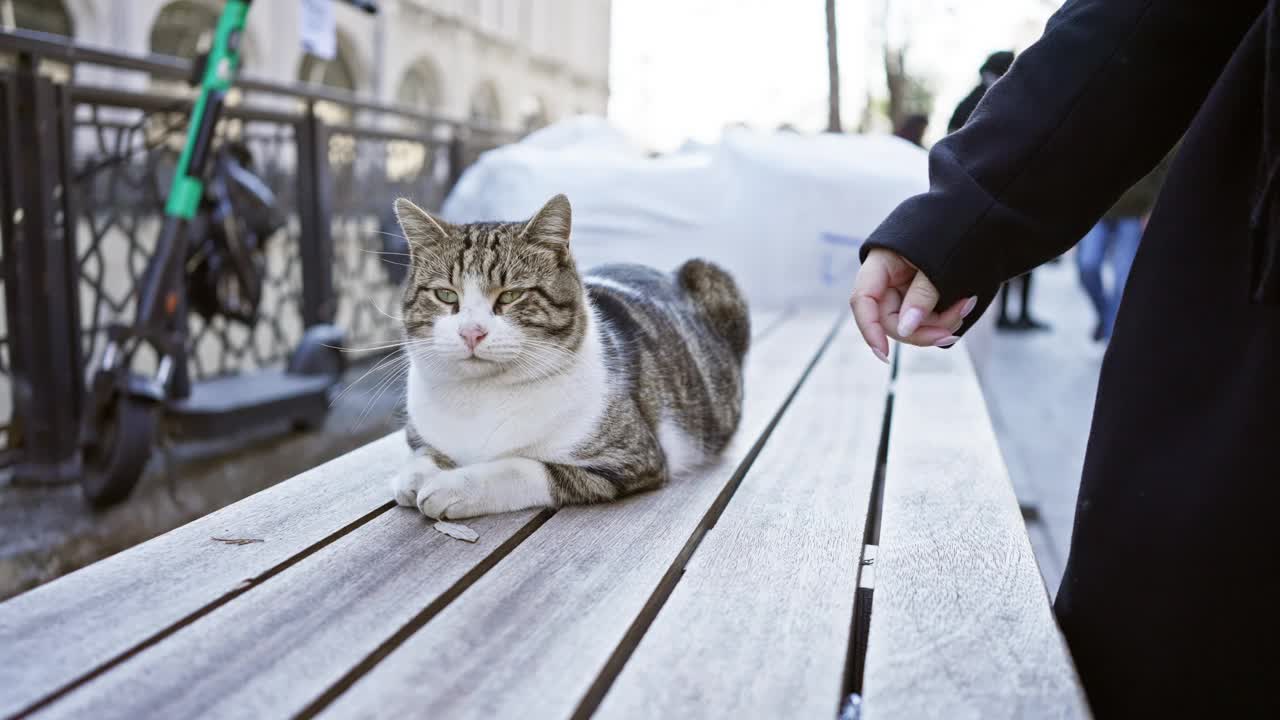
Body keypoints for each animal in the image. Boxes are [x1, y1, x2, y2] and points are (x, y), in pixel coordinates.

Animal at [389, 192, 747, 515]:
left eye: (511, 295)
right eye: (446, 295)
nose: (471, 332)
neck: (481, 396)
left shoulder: (631, 458)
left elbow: (525, 466)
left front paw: (453, 486)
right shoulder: (420, 431)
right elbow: (423, 451)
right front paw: (415, 476)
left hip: (712, 275)